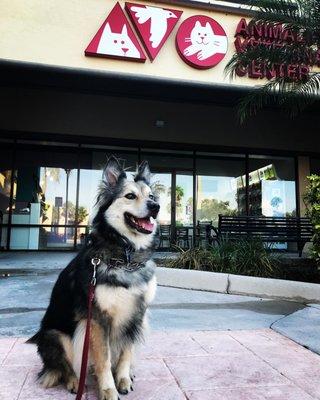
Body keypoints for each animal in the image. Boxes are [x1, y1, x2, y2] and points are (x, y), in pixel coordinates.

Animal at [28, 156, 160, 400]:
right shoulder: (98, 319)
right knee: (64, 367)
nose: (156, 207)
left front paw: (123, 379)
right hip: (56, 334)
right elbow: (103, 359)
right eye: (130, 196)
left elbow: (126, 352)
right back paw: (74, 381)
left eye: (152, 196)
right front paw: (108, 390)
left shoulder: (137, 314)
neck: (125, 258)